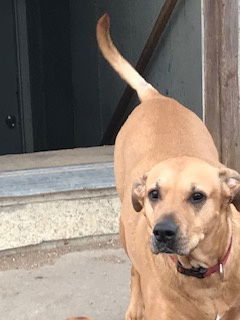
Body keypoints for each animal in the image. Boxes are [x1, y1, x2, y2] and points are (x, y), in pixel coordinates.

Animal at [95, 13, 240, 320]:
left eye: (197, 196)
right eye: (154, 194)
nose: (162, 232)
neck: (203, 277)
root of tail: (155, 97)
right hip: (124, 231)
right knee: (134, 270)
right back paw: (134, 307)